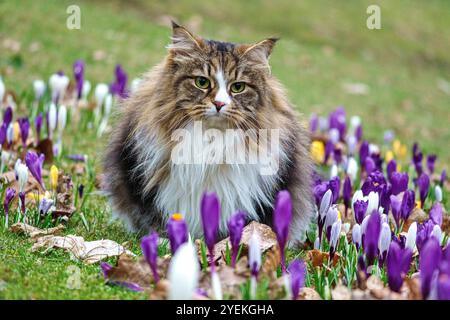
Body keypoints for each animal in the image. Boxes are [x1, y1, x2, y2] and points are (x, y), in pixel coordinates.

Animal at [103, 22, 312, 242]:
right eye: (202, 82)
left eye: (238, 87)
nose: (219, 103)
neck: (211, 140)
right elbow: (155, 217)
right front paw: (166, 240)